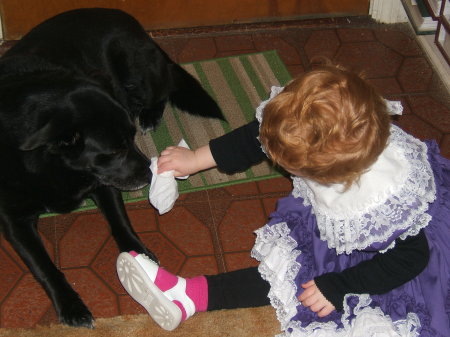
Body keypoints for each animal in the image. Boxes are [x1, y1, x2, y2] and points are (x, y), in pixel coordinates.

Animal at [0, 7, 223, 326]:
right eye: (115, 150)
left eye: (131, 138)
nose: (149, 174)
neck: (54, 167)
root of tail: (132, 22)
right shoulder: (14, 220)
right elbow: (45, 267)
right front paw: (71, 305)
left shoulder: (104, 184)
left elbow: (120, 221)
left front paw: (138, 253)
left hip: (138, 72)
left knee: (164, 89)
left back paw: (150, 115)